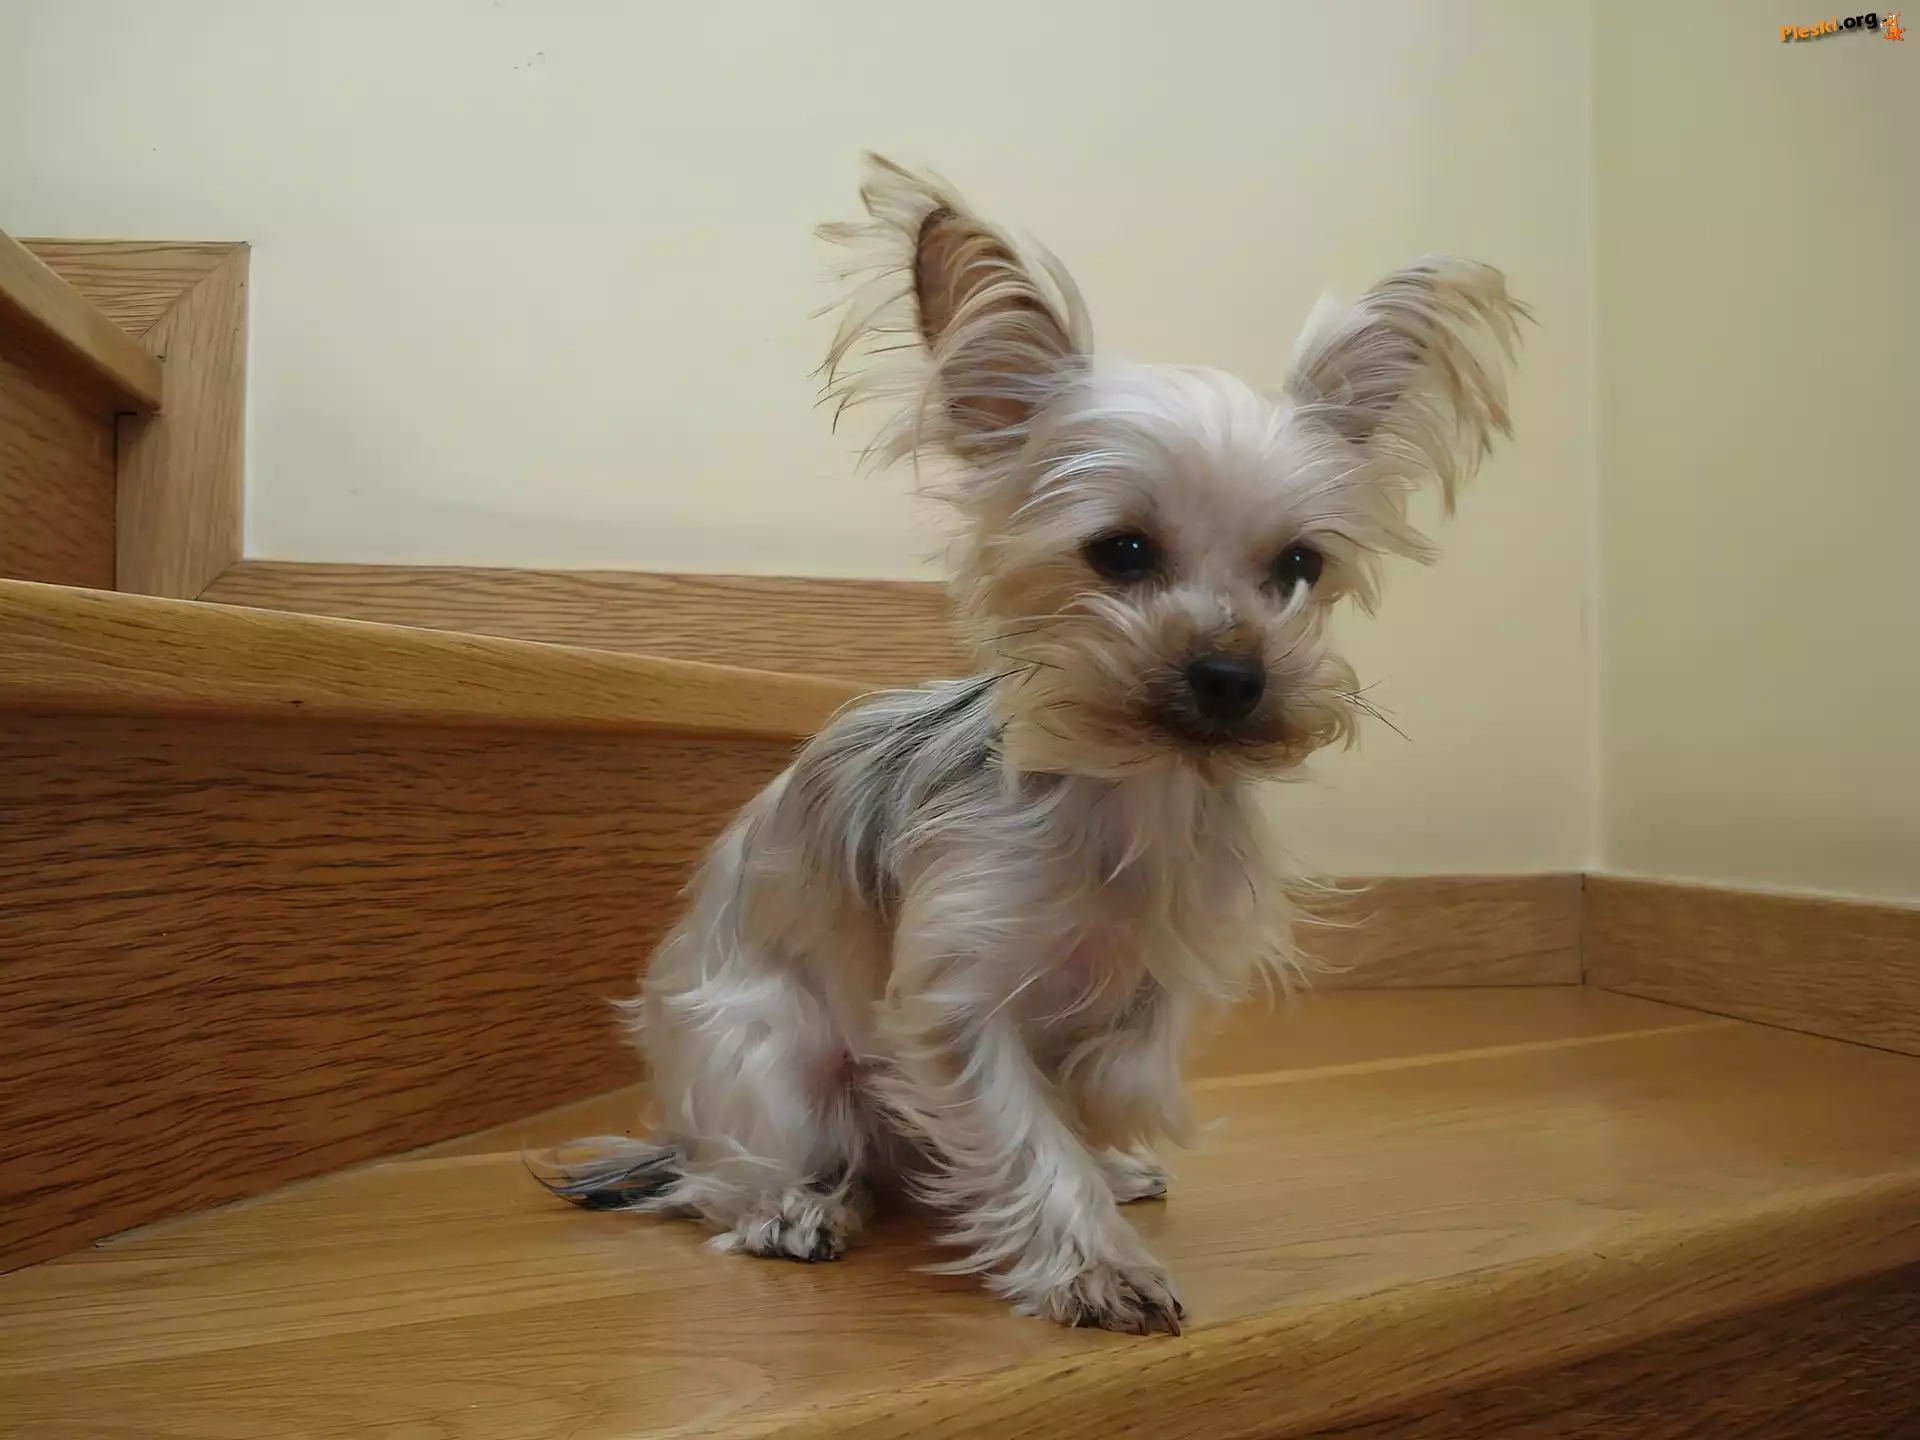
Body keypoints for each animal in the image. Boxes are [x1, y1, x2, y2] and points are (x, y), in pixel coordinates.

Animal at [535, 155, 1527, 1334]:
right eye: (1121, 551)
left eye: (1299, 566)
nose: (1233, 679)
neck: (1136, 789)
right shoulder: (954, 993)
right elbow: (1019, 1123)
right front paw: (1092, 1263)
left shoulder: (1161, 970)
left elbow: (1113, 1071)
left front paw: (1107, 1142)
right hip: (766, 1056)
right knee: (730, 1172)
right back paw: (795, 1204)